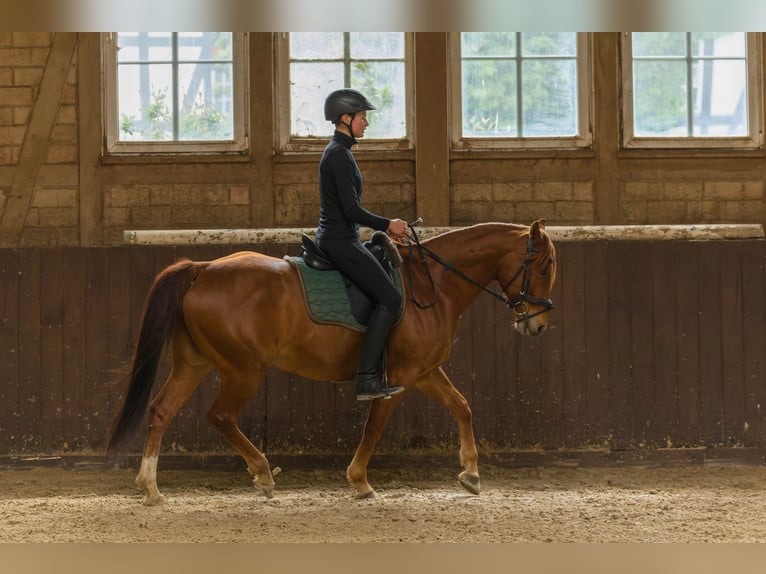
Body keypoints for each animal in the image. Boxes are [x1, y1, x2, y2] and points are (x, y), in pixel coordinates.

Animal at [105, 218, 560, 506]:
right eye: (544, 267)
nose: (538, 324)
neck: (435, 286)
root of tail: (202, 269)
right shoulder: (402, 374)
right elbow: (375, 427)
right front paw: (359, 482)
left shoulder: (427, 371)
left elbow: (462, 407)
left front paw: (471, 474)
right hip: (244, 370)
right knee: (221, 416)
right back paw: (263, 473)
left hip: (193, 364)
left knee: (161, 410)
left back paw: (151, 487)